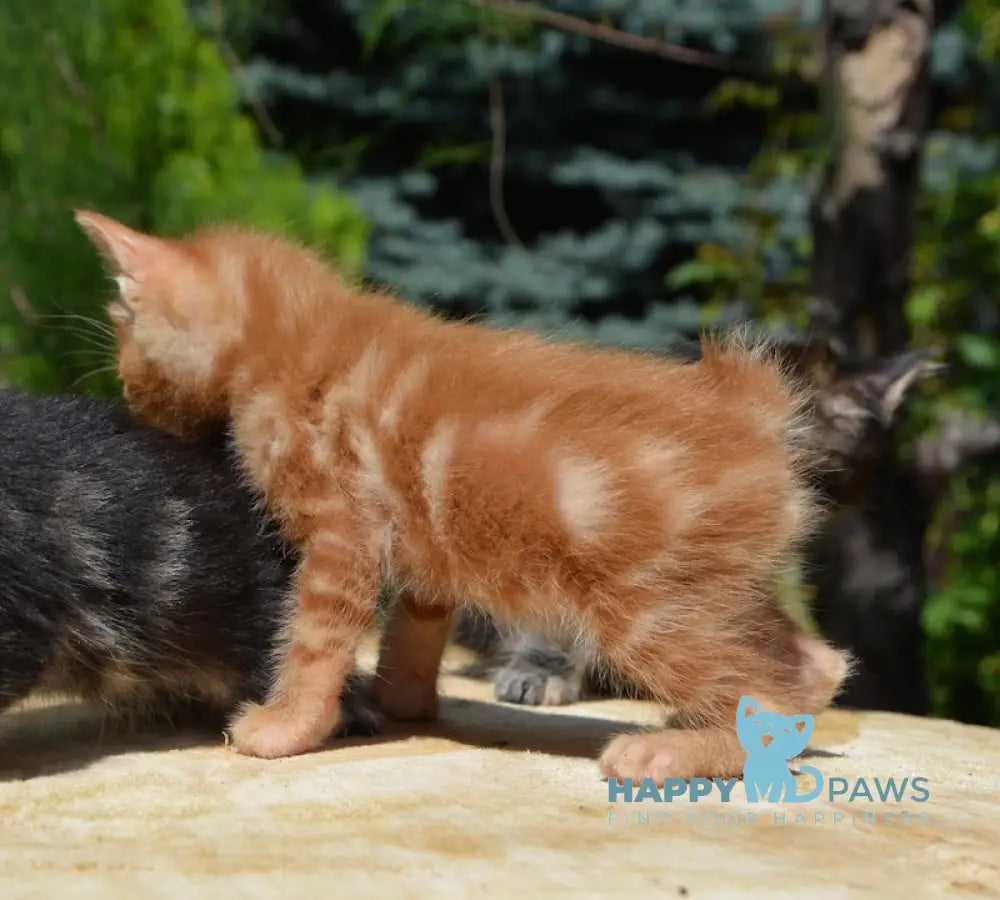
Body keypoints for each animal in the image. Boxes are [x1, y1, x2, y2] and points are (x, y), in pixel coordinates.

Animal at [74, 209, 848, 780]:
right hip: (719, 590)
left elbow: (314, 642)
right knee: (813, 664)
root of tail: (753, 408)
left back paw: (671, 750)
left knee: (759, 689)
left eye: (124, 343)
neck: (295, 338)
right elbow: (415, 622)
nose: (126, 393)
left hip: (649, 608)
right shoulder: (422, 533)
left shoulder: (342, 537)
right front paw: (403, 698)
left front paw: (285, 726)